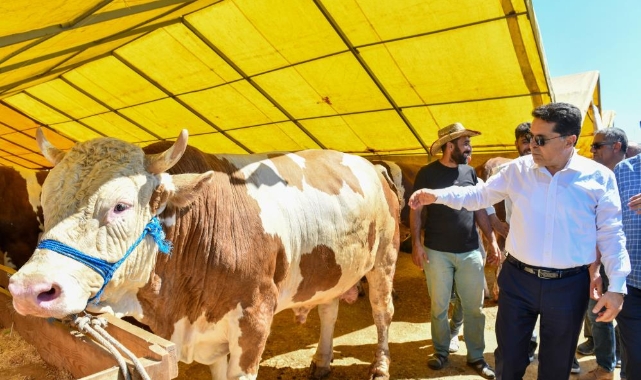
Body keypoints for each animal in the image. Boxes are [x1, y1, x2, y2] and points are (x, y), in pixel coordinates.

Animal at [8, 130, 400, 380]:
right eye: (44, 204)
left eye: (120, 206)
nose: (28, 290)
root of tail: (373, 165)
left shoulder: (254, 319)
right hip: (331, 270)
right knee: (329, 308)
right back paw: (321, 361)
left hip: (384, 258)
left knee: (382, 312)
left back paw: (380, 367)